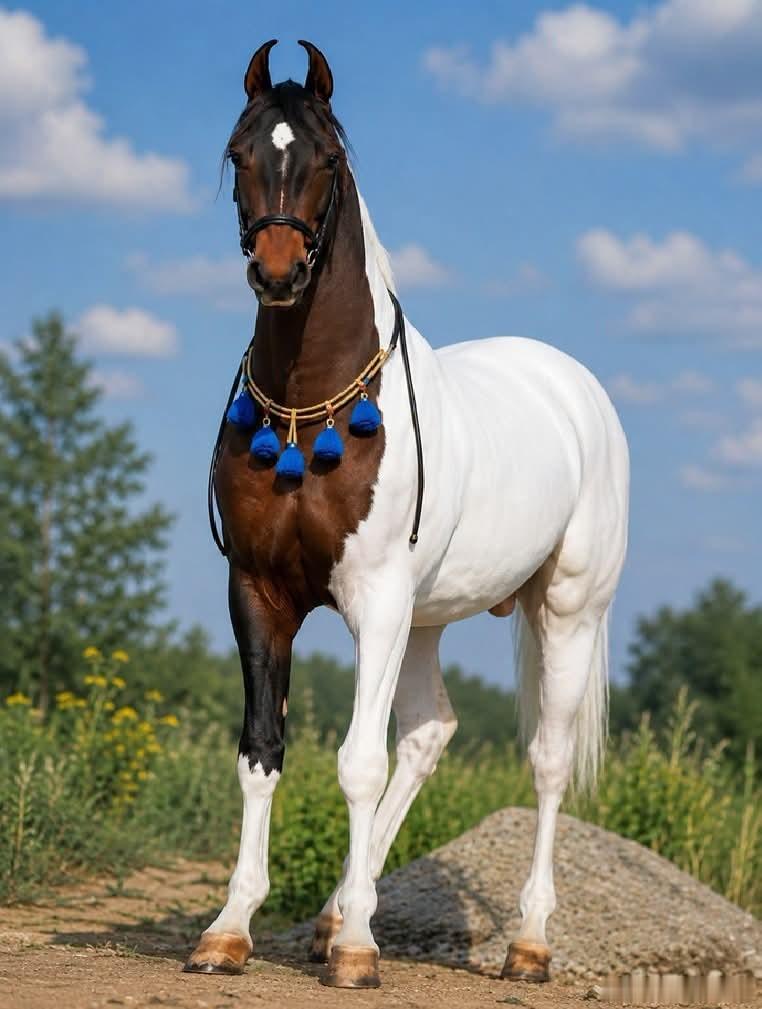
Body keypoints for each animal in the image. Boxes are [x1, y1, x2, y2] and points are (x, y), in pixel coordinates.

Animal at [185, 39, 629, 989]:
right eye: (239, 154)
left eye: (327, 158)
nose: (278, 273)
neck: (308, 412)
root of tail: (574, 385)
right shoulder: (259, 595)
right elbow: (261, 752)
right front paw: (231, 926)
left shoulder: (375, 599)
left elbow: (357, 761)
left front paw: (358, 948)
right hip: (426, 617)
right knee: (431, 732)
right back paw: (331, 914)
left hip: (564, 609)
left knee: (546, 761)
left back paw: (526, 943)